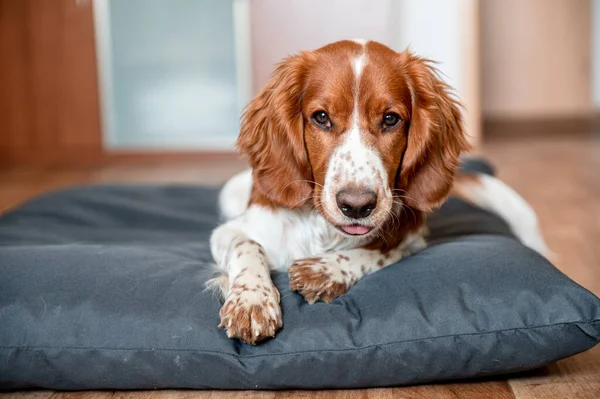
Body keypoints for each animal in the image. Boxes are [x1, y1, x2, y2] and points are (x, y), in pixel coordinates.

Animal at [206, 41, 548, 346]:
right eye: (321, 117)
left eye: (390, 119)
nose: (357, 206)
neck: (323, 231)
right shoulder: (230, 231)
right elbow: (246, 245)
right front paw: (251, 301)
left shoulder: (411, 235)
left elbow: (379, 250)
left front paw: (327, 270)